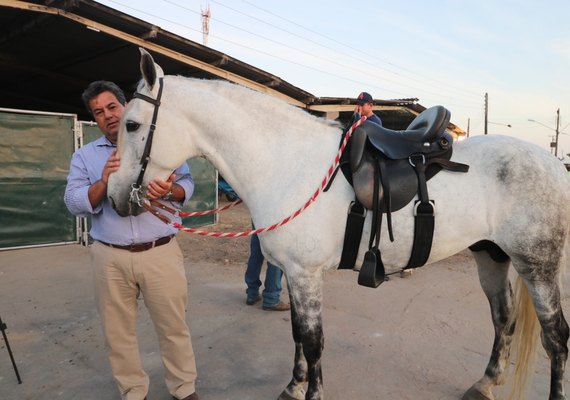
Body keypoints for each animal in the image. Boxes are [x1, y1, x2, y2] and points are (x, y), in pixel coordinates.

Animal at [107, 49, 568, 400]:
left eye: (132, 124)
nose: (113, 195)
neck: (285, 162)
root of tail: (553, 165)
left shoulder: (306, 274)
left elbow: (313, 342)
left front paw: (310, 392)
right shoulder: (293, 273)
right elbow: (297, 334)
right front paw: (293, 387)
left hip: (536, 266)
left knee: (556, 337)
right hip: (492, 256)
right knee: (503, 319)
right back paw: (487, 383)